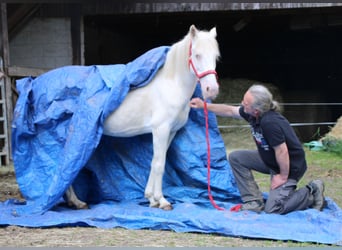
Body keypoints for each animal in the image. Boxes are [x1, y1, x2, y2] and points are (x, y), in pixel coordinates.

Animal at [66, 23, 220, 211]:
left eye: (215, 57)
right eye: (197, 55)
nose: (211, 89)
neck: (171, 87)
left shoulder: (170, 132)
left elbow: (155, 161)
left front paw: (151, 199)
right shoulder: (160, 130)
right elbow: (160, 164)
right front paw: (162, 201)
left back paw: (72, 201)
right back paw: (77, 201)